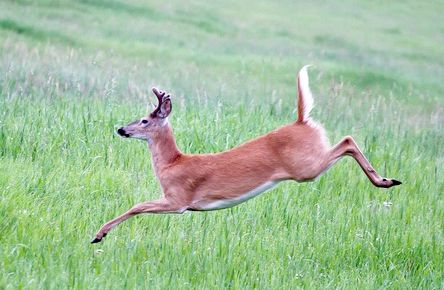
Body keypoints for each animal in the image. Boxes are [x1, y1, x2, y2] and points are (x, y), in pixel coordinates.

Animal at [91, 65, 402, 242]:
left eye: (144, 120)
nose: (121, 129)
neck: (173, 163)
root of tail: (302, 121)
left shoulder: (179, 200)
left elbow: (137, 206)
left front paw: (98, 235)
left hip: (306, 168)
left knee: (347, 140)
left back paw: (386, 181)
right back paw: (387, 180)